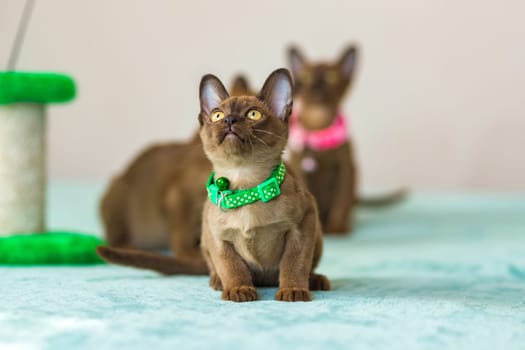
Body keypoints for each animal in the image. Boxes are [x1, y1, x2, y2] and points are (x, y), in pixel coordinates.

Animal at [286, 45, 406, 234]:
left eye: (331, 77)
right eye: (306, 77)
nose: (316, 86)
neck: (320, 127)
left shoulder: (345, 169)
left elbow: (340, 202)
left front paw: (337, 228)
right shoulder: (299, 168)